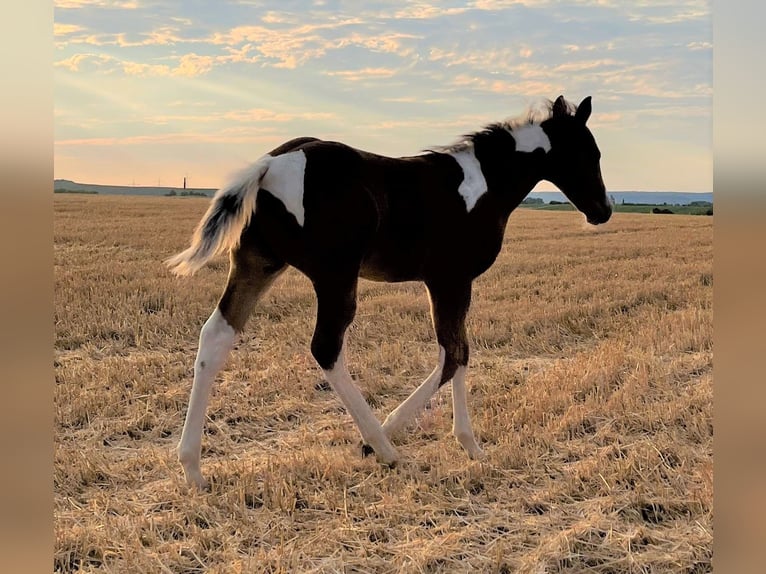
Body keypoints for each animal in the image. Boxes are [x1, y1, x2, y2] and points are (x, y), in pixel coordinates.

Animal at [166, 94, 612, 490]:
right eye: (589, 153)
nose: (603, 210)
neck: (483, 184)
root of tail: (271, 164)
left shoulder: (442, 283)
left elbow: (455, 353)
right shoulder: (452, 279)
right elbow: (456, 354)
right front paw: (463, 443)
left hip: (258, 265)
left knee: (216, 336)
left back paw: (192, 468)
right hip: (335, 276)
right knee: (326, 348)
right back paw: (383, 447)